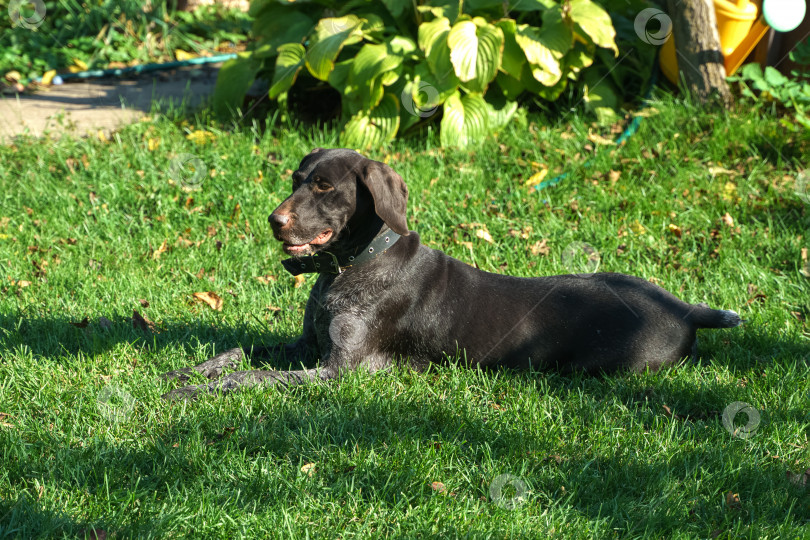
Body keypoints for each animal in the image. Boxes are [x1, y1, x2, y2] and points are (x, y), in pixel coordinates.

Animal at [159, 149, 740, 400]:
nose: (274, 221)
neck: (352, 267)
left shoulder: (339, 369)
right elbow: (238, 352)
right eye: (297, 179)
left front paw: (197, 390)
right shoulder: (307, 347)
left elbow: (253, 376)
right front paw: (188, 372)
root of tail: (684, 309)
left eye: (324, 187)